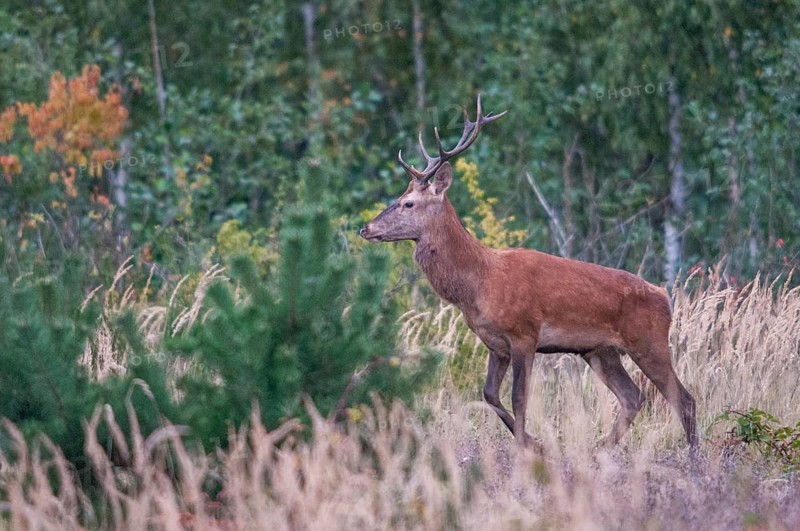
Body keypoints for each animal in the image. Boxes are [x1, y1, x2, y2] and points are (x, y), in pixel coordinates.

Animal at [359, 96, 698, 450]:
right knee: (633, 397)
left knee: (684, 399)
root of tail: (665, 298)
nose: (366, 228)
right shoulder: (495, 343)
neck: (478, 284)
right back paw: (600, 449)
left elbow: (519, 397)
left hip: (648, 340)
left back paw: (692, 455)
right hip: (599, 351)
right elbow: (489, 394)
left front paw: (526, 446)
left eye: (408, 203)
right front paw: (534, 442)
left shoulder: (524, 333)